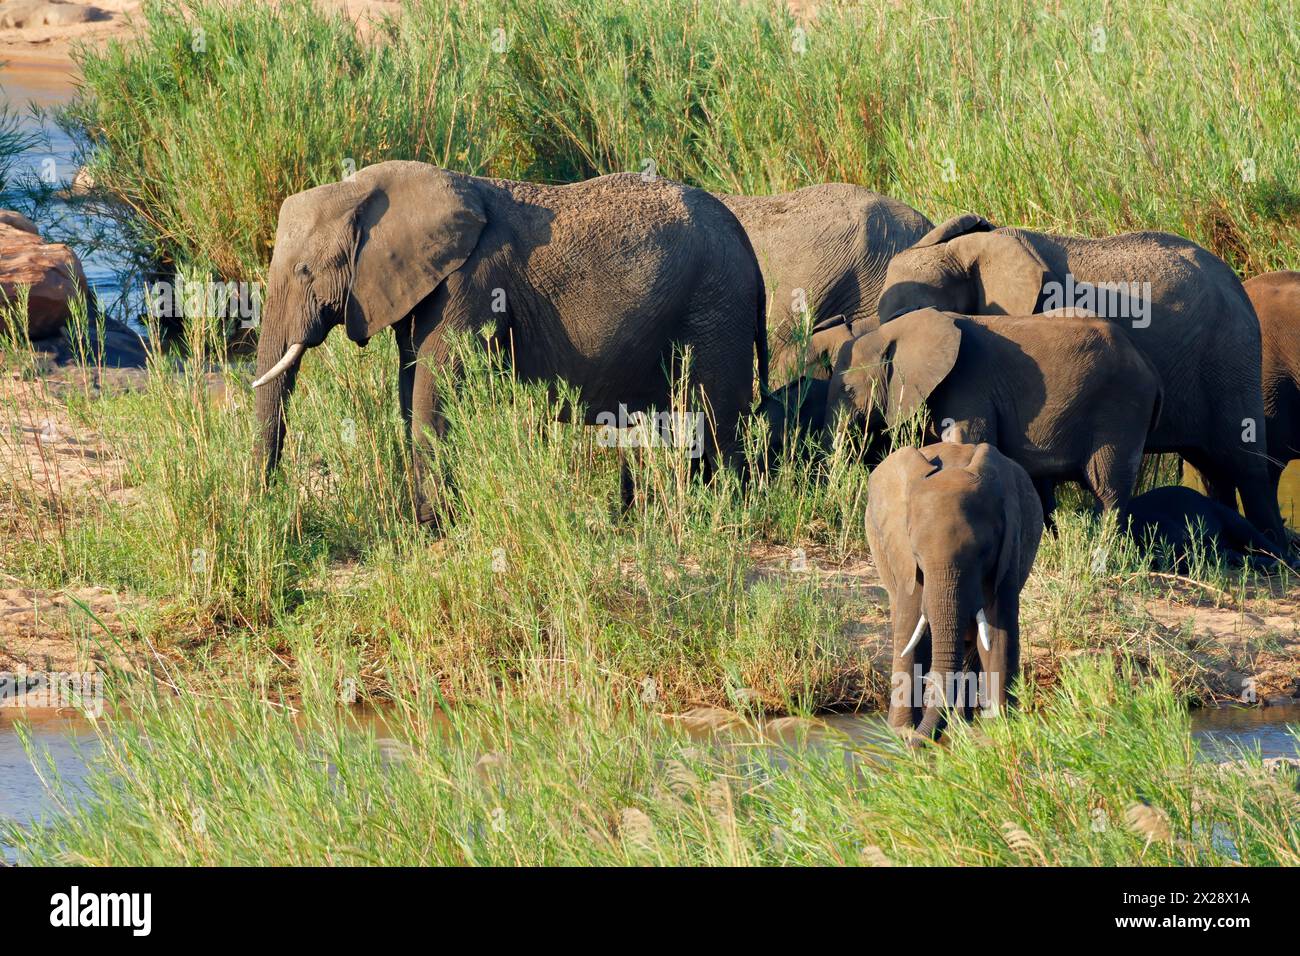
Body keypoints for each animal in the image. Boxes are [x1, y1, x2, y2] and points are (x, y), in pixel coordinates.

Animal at [816, 308, 1164, 520]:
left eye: (849, 389)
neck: (894, 330)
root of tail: (1148, 363)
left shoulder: (968, 382)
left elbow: (967, 442)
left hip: (1122, 407)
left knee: (1108, 487)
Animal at [863, 444, 1045, 743]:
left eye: (984, 552)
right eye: (917, 554)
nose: (922, 741)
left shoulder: (1010, 546)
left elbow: (999, 634)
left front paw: (1003, 730)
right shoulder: (903, 558)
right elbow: (911, 628)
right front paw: (902, 734)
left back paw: (963, 725)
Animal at [873, 217, 1279, 546]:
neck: (972, 248)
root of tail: (1236, 283)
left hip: (1231, 355)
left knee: (1246, 463)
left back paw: (1272, 548)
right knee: (1211, 467)